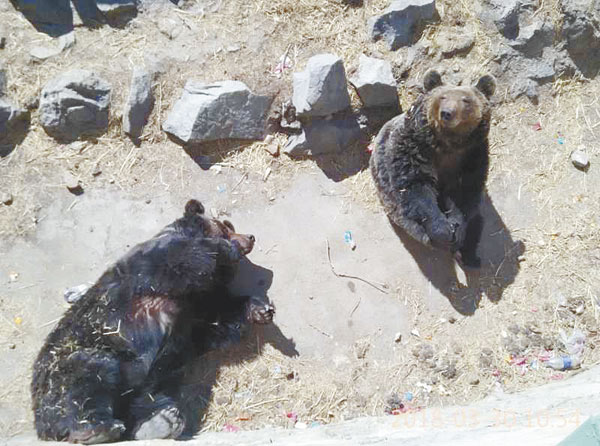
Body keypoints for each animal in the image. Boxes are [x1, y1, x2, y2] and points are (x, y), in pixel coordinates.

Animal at [31, 200, 276, 444]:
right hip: (83, 355)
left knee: (141, 405)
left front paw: (260, 309)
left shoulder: (195, 312)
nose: (250, 236)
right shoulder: (155, 264)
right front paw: (225, 248)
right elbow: (185, 258)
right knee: (85, 384)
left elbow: (217, 320)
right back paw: (94, 429)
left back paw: (161, 422)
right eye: (226, 226)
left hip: (143, 387)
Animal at [370, 68, 496, 266]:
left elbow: (464, 194)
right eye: (442, 97)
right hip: (391, 203)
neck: (448, 145)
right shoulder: (411, 149)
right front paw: (443, 231)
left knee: (476, 219)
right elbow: (417, 190)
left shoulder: (473, 156)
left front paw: (457, 230)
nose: (447, 113)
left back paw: (470, 255)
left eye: (466, 100)